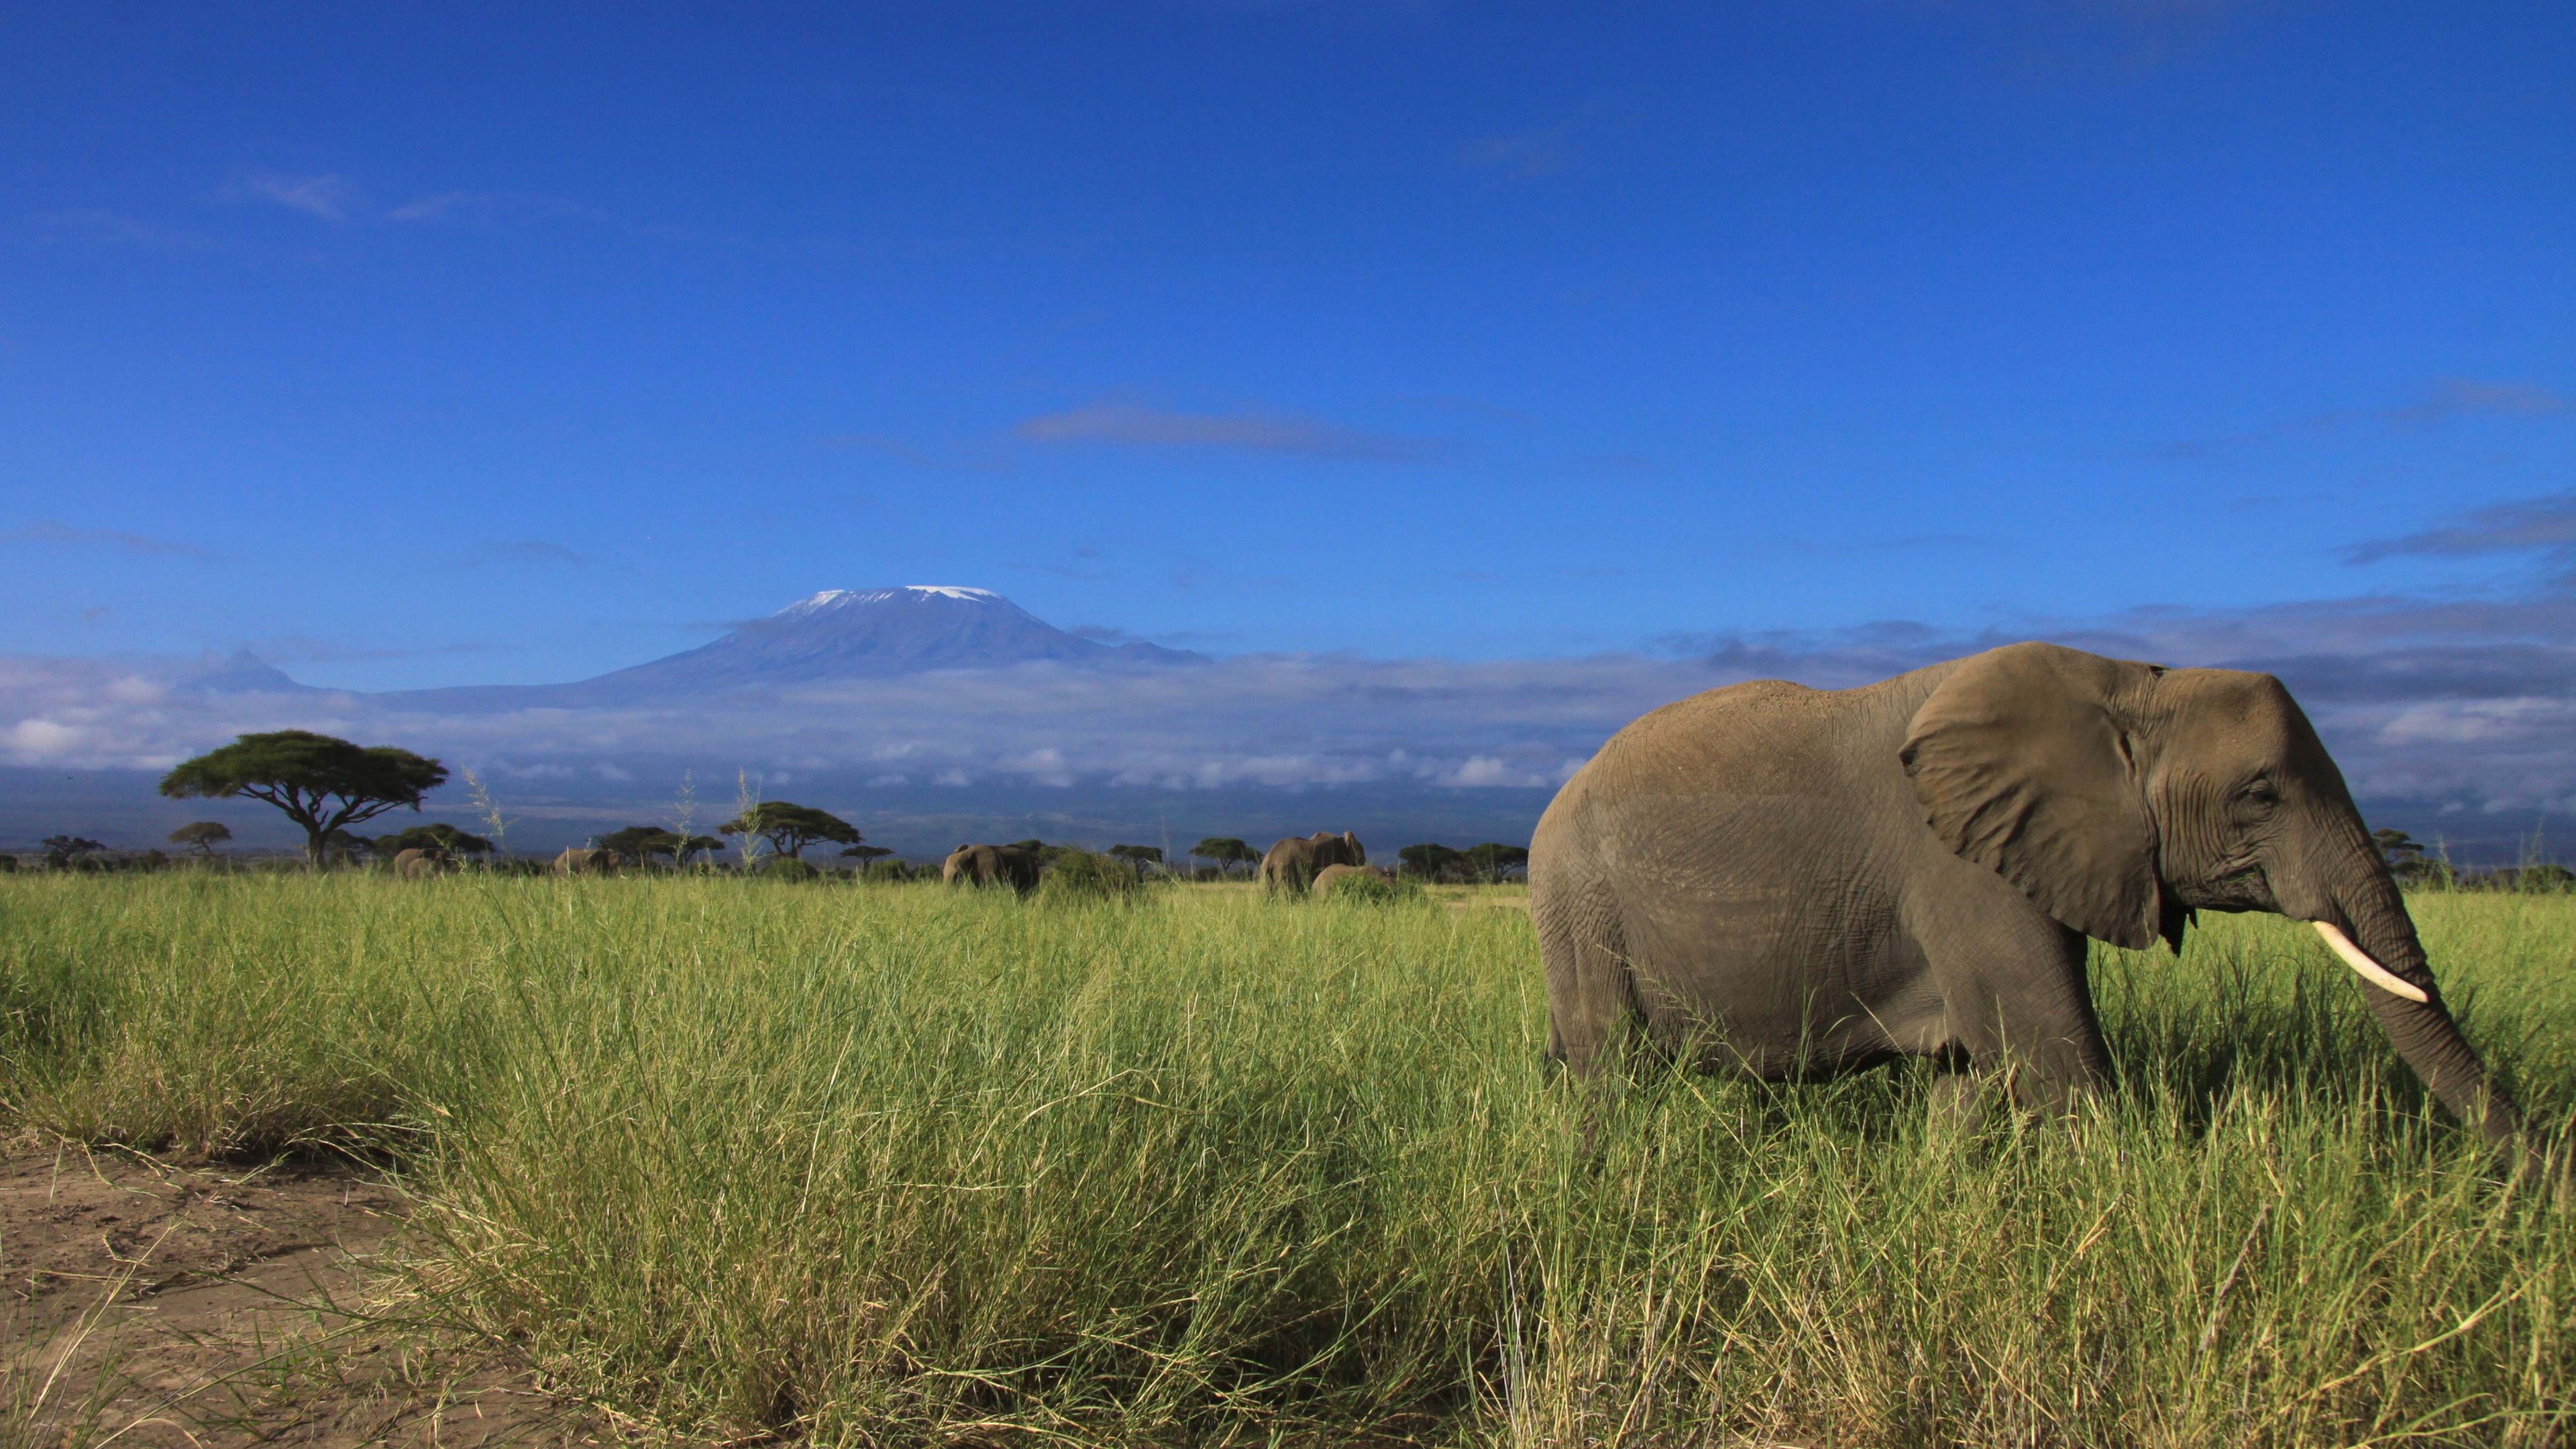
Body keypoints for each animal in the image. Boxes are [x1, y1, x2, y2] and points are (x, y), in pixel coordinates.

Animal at [1535, 637, 2524, 1144]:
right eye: (2261, 795)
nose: (2533, 1174)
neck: (2130, 685)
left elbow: (1974, 1079)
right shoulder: (1962, 867)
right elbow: (2061, 1067)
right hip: (1580, 902)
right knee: (1609, 1075)